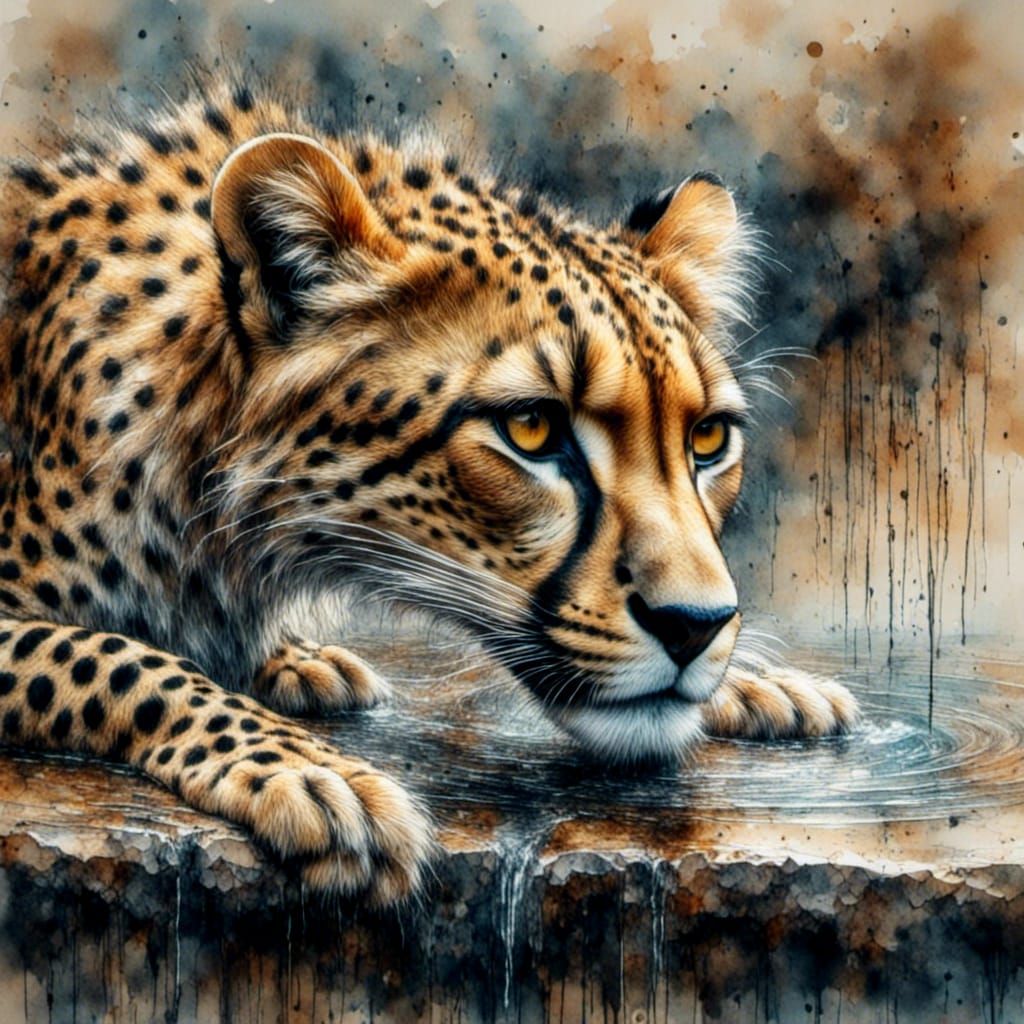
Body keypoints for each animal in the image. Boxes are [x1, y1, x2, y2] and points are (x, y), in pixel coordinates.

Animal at [0, 78, 857, 906]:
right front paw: (317, 777)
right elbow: (116, 658)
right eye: (532, 428)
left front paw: (753, 680)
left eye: (706, 439)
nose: (694, 627)